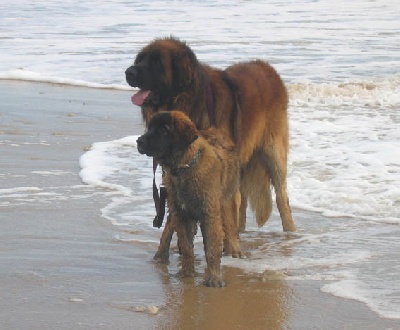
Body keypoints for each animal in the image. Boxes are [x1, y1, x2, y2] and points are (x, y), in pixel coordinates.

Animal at [125, 36, 296, 242]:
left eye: (156, 62)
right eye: (140, 59)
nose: (128, 72)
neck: (190, 103)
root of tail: (268, 68)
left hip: (273, 153)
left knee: (281, 197)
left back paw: (290, 231)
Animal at [136, 111, 241, 286]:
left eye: (163, 130)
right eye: (150, 127)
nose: (139, 141)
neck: (185, 168)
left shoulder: (209, 214)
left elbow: (212, 248)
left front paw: (213, 278)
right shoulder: (181, 214)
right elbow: (186, 247)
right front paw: (187, 273)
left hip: (226, 200)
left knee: (230, 225)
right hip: (174, 207)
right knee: (168, 229)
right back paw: (160, 257)